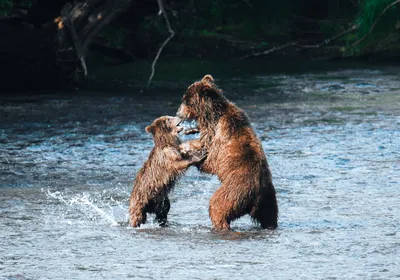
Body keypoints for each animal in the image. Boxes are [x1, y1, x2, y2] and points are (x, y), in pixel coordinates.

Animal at [177, 74, 280, 230]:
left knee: (217, 207)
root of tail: (256, 197)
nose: (178, 113)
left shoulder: (219, 135)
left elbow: (211, 159)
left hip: (233, 192)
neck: (212, 116)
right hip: (269, 201)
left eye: (185, 99)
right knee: (270, 217)